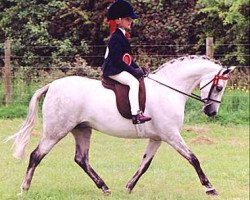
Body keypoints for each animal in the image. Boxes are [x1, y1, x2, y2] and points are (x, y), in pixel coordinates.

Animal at [6, 55, 236, 195]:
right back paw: (24, 188)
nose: (211, 112)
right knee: (36, 155)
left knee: (81, 159)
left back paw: (105, 187)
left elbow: (145, 164)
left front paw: (128, 186)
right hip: (56, 131)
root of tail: (52, 86)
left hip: (82, 130)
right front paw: (210, 188)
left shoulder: (157, 138)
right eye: (219, 87)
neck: (168, 90)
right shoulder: (171, 135)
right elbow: (193, 159)